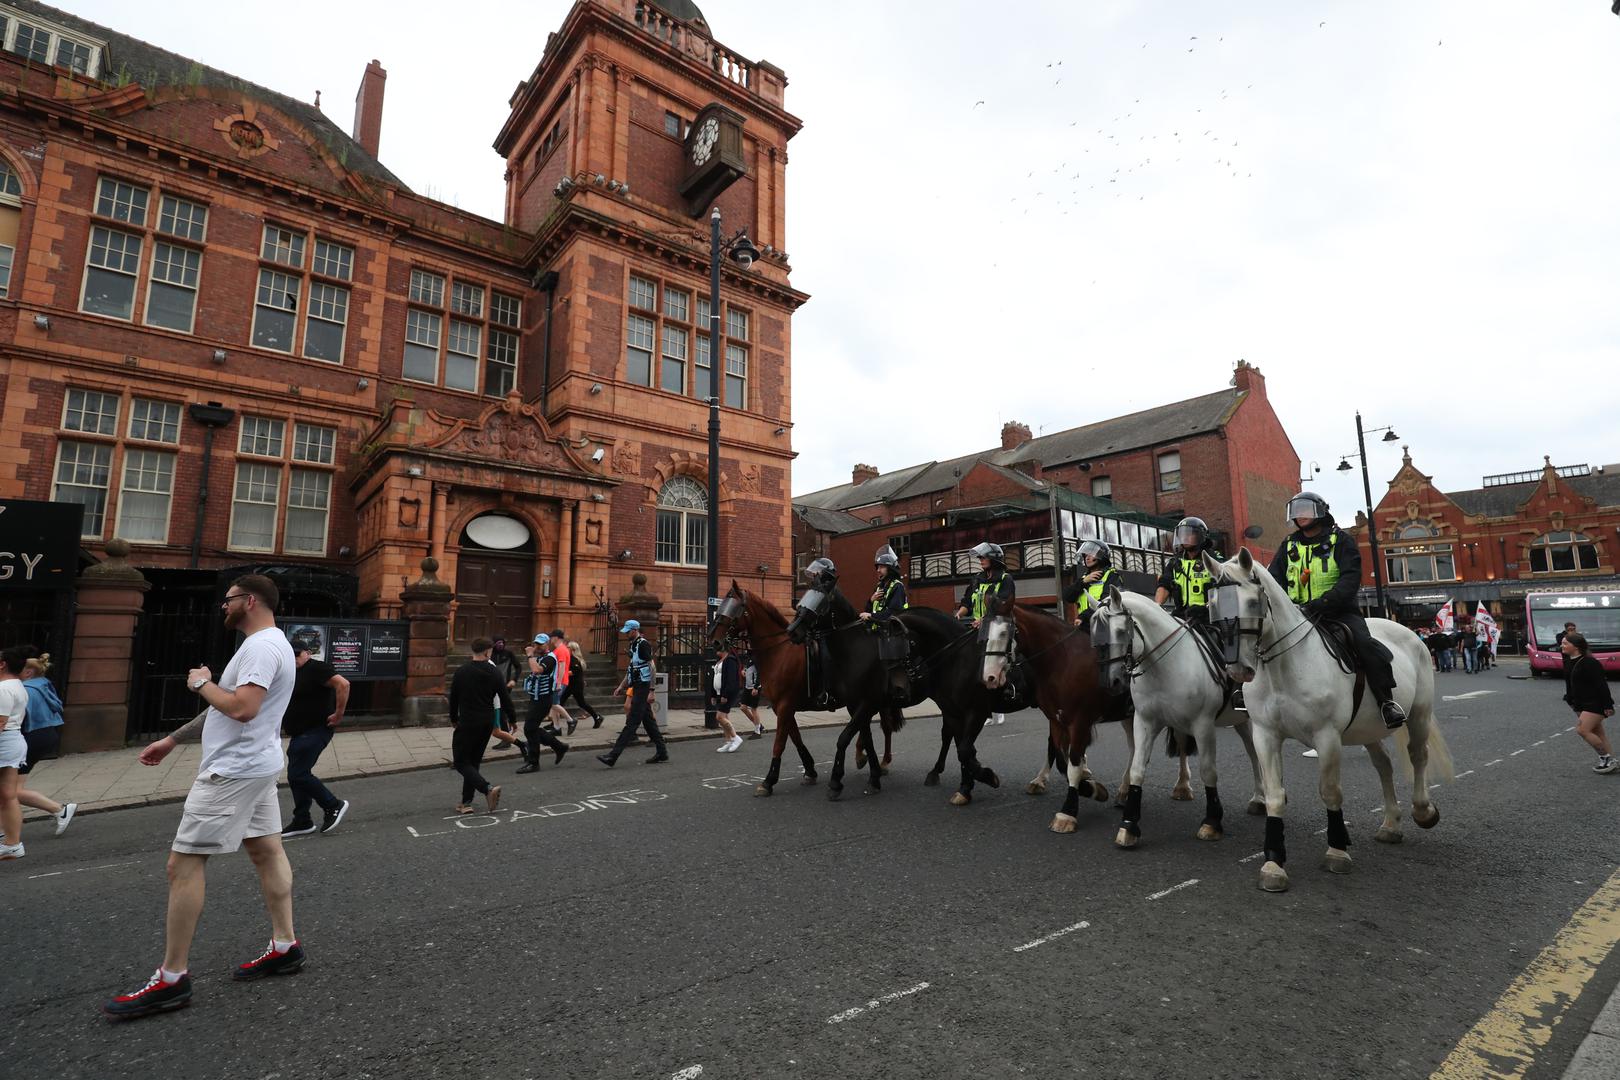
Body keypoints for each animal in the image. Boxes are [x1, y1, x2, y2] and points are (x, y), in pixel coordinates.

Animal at [1088, 586, 1263, 848]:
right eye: (1092, 632)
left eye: (1119, 631)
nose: (1112, 682)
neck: (1164, 665)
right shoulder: (1145, 722)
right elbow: (1137, 768)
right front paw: (1129, 825)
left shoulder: (1203, 725)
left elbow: (1208, 771)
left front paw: (1212, 822)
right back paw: (1183, 787)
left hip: (1246, 720)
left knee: (1254, 754)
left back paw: (1260, 799)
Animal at [1205, 550, 1458, 893]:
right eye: (1212, 604)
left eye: (1254, 602)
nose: (1238, 670)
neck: (1284, 668)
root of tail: (1409, 633)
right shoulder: (1265, 735)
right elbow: (1274, 796)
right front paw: (1273, 863)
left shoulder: (1326, 736)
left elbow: (1330, 791)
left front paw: (1337, 851)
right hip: (1367, 728)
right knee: (1384, 765)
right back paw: (1391, 824)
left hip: (1419, 713)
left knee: (1418, 756)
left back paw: (1423, 811)